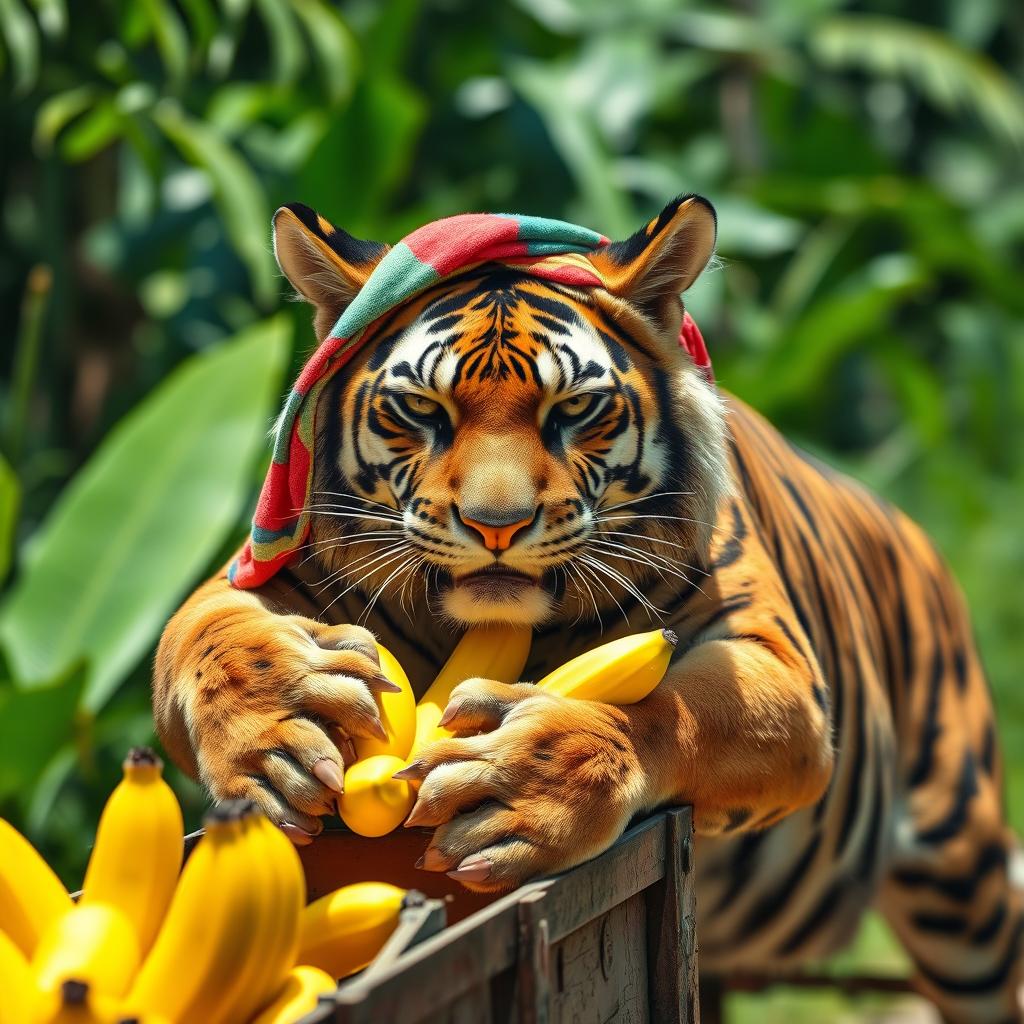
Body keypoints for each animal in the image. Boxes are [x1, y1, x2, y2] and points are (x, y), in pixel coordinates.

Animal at [153, 195, 1023, 1022]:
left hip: (965, 884)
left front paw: (525, 781)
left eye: (573, 410)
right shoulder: (261, 575)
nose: (495, 525)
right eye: (423, 411)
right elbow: (205, 632)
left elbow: (676, 713)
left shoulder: (774, 668)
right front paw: (277, 731)